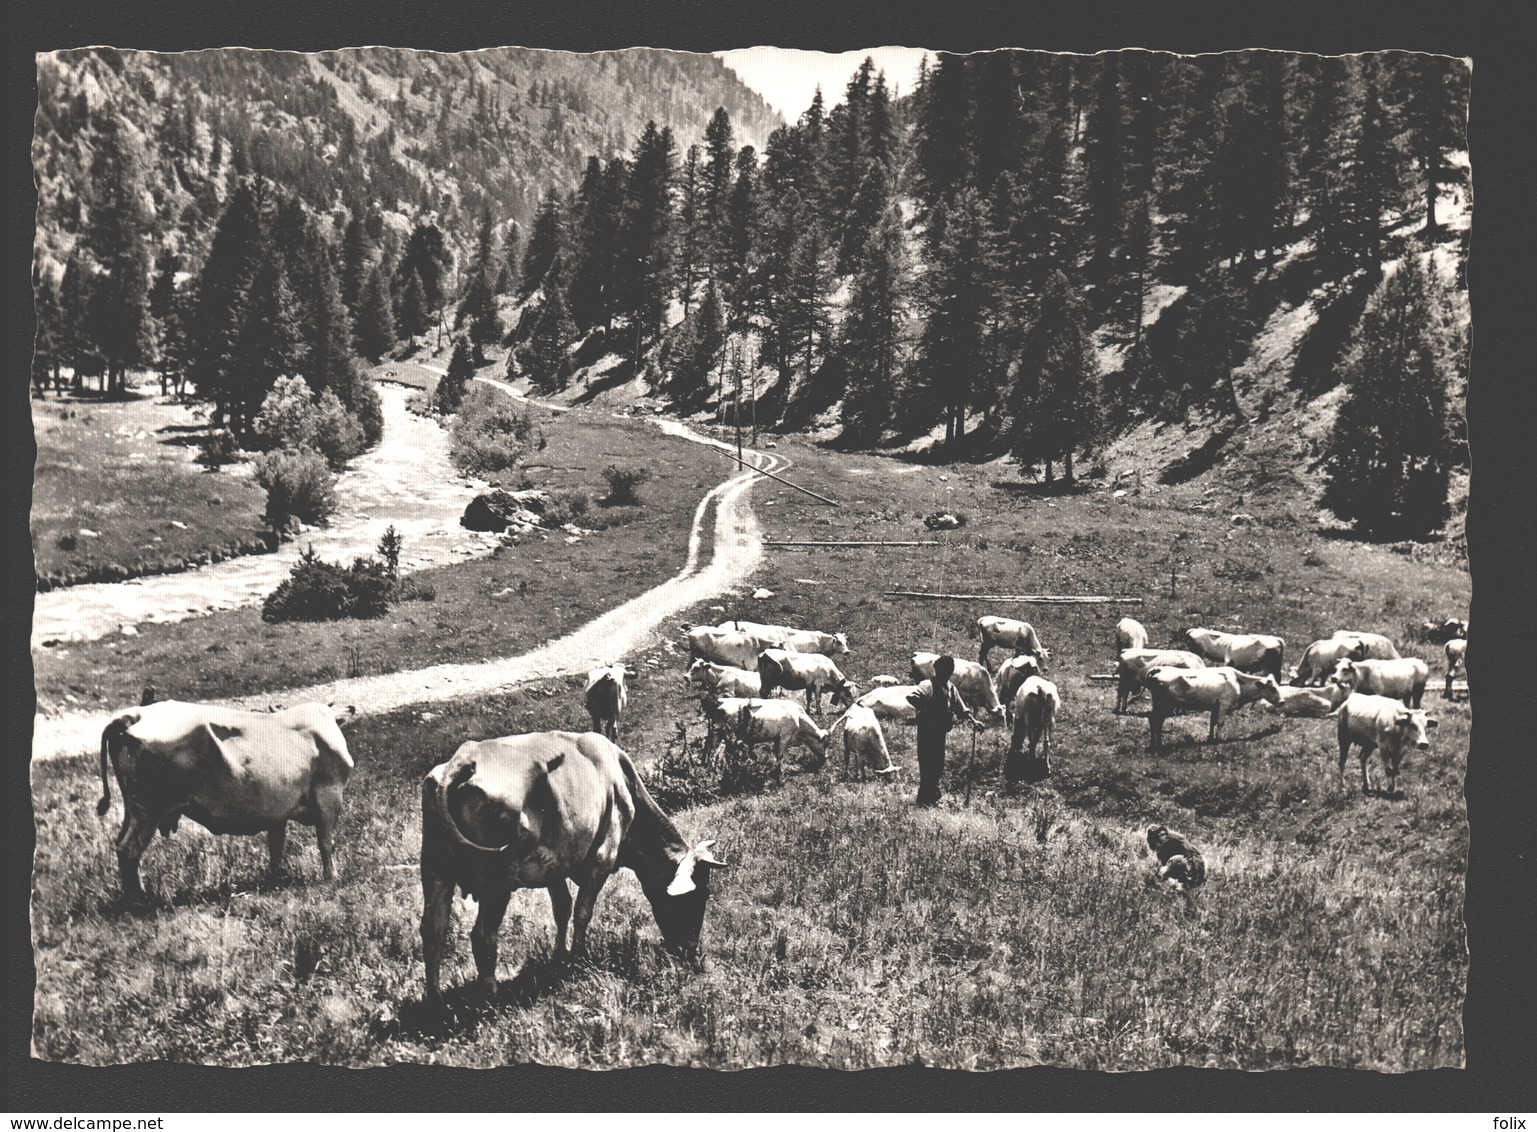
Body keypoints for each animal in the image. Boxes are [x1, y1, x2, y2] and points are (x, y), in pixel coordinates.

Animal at [97, 698, 355, 904]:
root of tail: (135, 715)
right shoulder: (329, 797)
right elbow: (325, 842)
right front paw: (331, 878)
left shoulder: (277, 812)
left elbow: (277, 847)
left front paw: (276, 880)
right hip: (148, 810)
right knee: (129, 849)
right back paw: (138, 900)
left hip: (133, 809)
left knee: (120, 844)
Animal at [418, 735, 728, 1008]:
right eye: (701, 894)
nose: (692, 952)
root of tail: (466, 756)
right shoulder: (602, 857)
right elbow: (582, 911)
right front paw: (579, 958)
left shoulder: (554, 865)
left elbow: (562, 909)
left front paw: (560, 955)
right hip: (499, 877)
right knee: (482, 935)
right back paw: (492, 997)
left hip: (434, 869)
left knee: (433, 930)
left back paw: (435, 1001)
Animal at [1143, 664, 1284, 750]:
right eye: (1272, 689)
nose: (1282, 702)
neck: (1238, 682)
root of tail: (1159, 669)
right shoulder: (1223, 704)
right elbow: (1220, 722)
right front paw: (1218, 739)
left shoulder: (1215, 706)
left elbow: (1212, 722)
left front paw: (1210, 738)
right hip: (1164, 705)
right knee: (1156, 720)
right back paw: (1157, 744)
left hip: (1158, 704)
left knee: (1154, 720)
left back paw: (1155, 743)